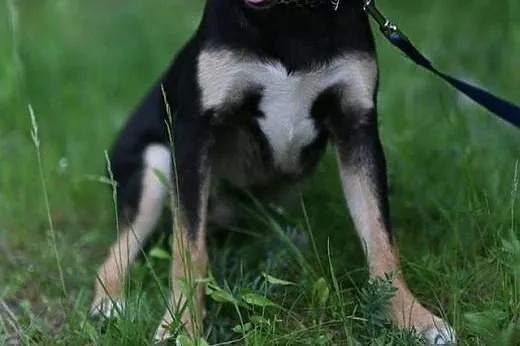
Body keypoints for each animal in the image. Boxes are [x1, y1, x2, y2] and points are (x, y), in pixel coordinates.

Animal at [89, 0, 456, 344]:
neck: (289, 16)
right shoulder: (194, 133)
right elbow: (189, 251)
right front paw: (181, 327)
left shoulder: (358, 128)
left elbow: (381, 241)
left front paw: (415, 318)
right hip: (155, 166)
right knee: (116, 253)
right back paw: (108, 305)